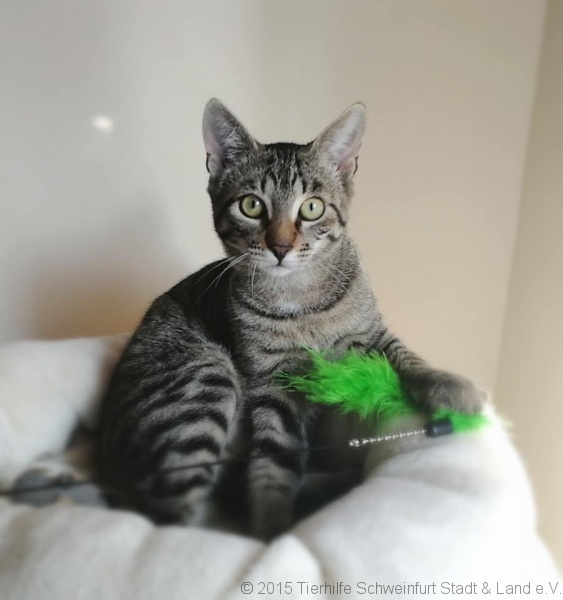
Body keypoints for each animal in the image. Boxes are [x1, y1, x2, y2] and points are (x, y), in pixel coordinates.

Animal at [96, 99, 483, 540]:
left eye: (312, 207)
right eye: (251, 205)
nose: (280, 246)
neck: (300, 301)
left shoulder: (371, 333)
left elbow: (407, 356)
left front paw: (447, 383)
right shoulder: (271, 383)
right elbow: (273, 460)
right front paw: (274, 525)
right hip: (203, 377)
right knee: (180, 515)